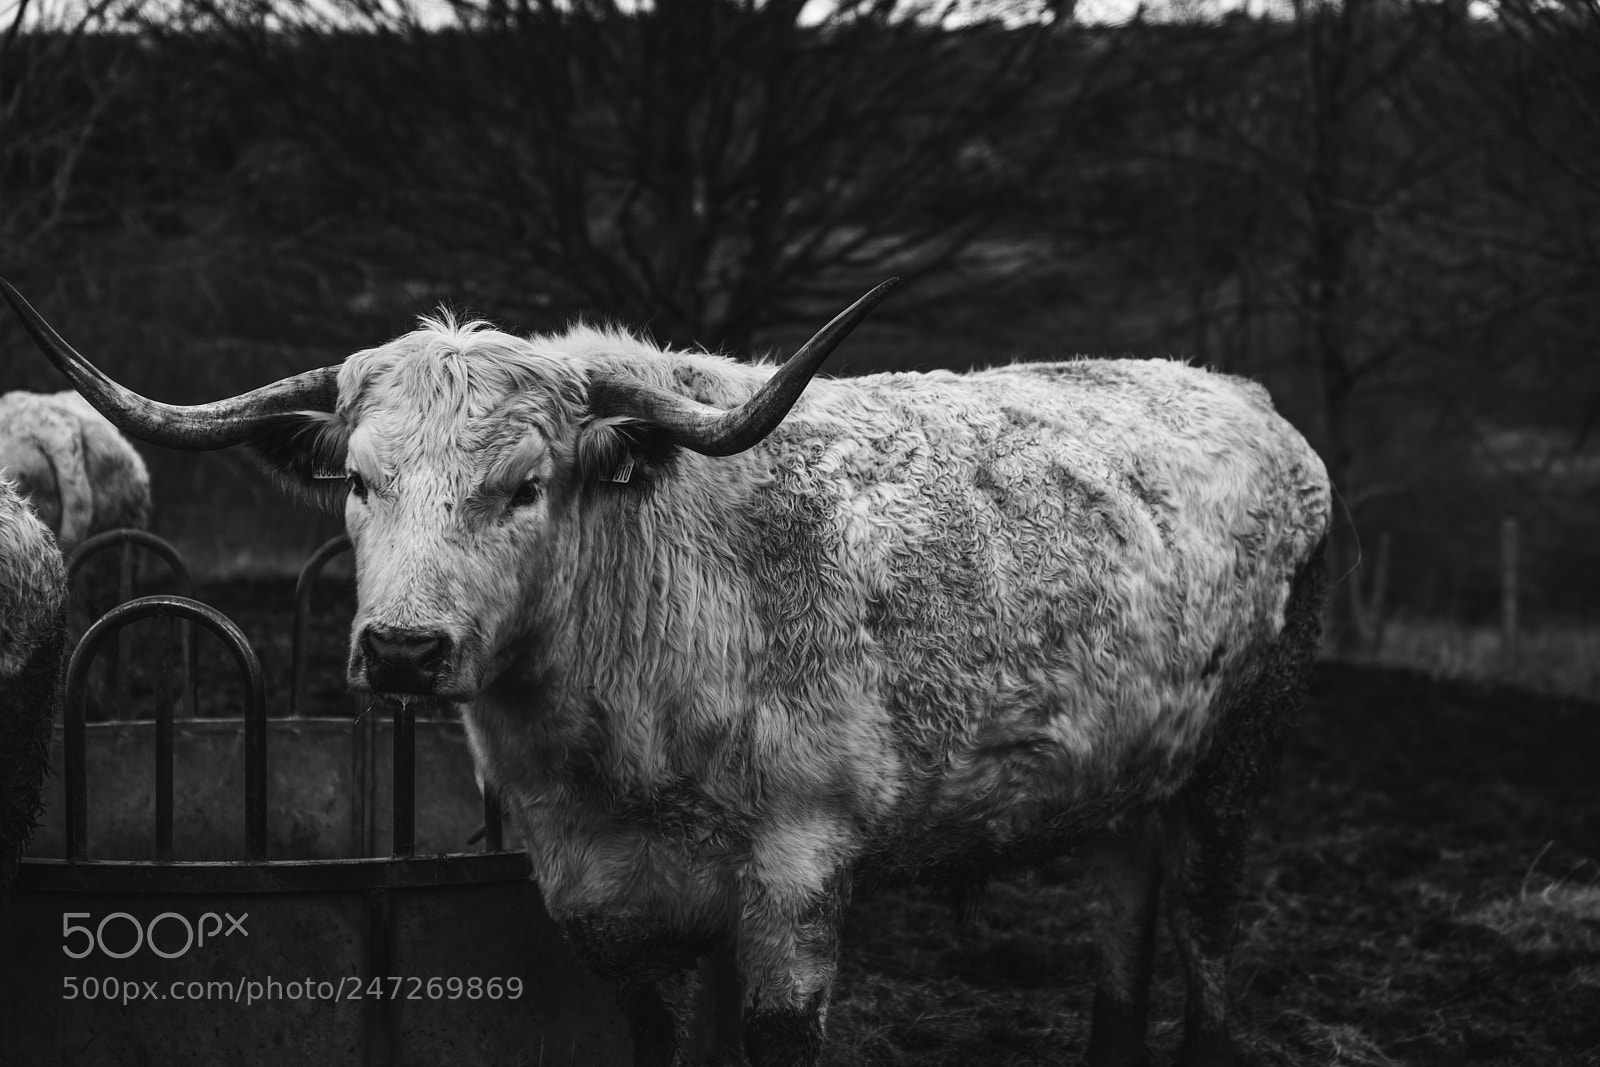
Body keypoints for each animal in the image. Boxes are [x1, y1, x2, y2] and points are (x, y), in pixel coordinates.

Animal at [2, 276, 1331, 1067]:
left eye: (526, 485)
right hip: (1133, 780)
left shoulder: (799, 875)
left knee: (1210, 954)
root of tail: (1247, 398)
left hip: (1234, 777)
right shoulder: (617, 902)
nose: (402, 648)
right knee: (1124, 927)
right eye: (359, 480)